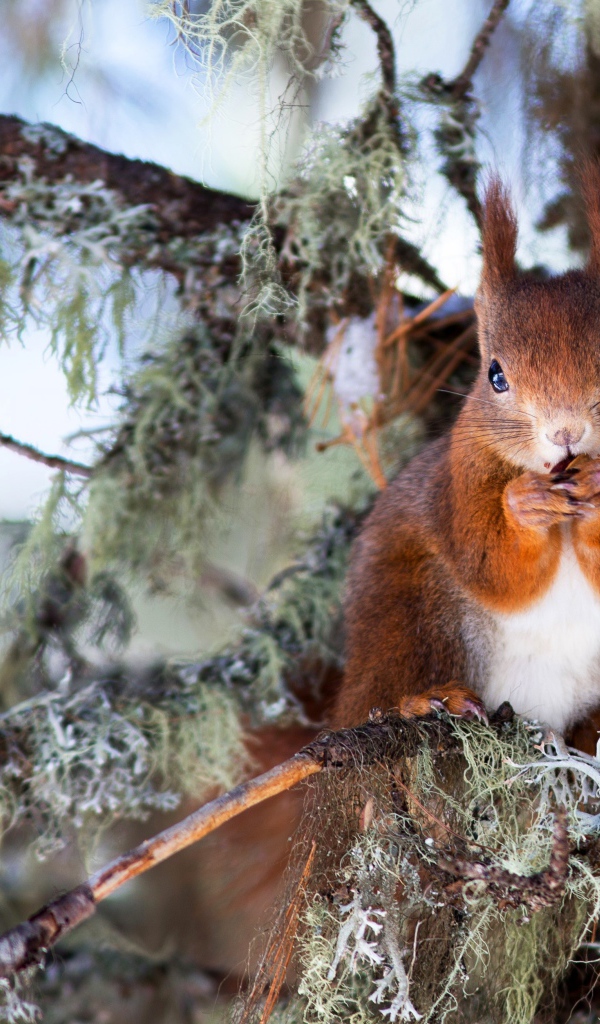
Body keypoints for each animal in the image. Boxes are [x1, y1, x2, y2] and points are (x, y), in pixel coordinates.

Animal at [331, 169, 600, 745]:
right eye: (495, 375)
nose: (565, 432)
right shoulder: (460, 478)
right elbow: (489, 565)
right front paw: (523, 504)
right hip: (409, 612)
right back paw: (427, 700)